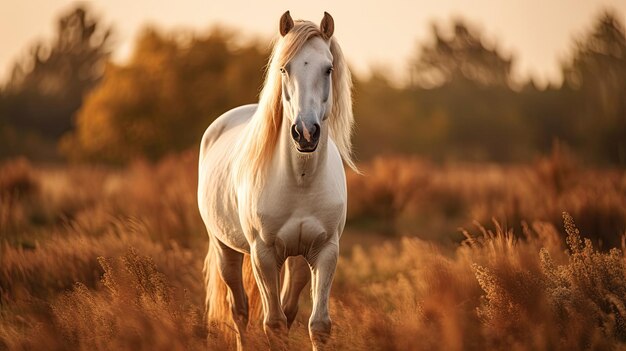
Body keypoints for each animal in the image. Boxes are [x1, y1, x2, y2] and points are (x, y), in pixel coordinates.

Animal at [199, 11, 356, 351]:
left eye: (328, 68)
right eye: (284, 68)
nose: (305, 133)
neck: (300, 180)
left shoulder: (326, 251)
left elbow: (317, 325)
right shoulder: (264, 254)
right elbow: (273, 324)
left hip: (296, 260)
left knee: (287, 309)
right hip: (224, 248)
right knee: (239, 311)